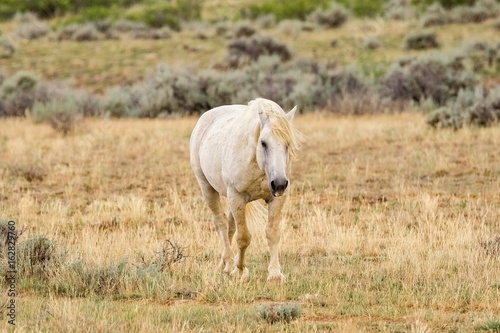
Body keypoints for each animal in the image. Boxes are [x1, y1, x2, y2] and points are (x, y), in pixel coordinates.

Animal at [190, 97, 300, 282]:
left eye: (288, 144)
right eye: (263, 143)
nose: (278, 183)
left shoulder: (276, 199)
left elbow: (272, 233)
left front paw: (275, 274)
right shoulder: (237, 196)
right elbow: (243, 237)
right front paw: (240, 271)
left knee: (229, 226)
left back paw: (223, 264)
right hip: (207, 188)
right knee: (221, 223)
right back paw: (228, 263)